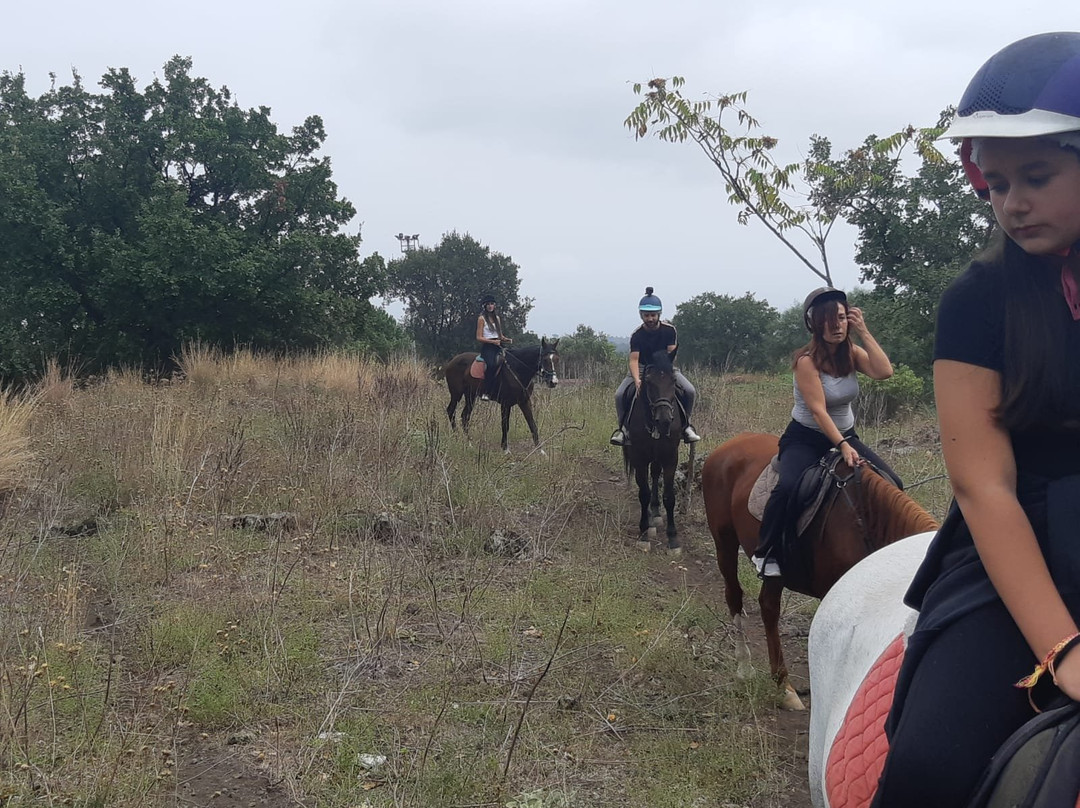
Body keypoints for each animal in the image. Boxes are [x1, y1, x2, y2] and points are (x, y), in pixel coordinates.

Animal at [622, 347, 686, 557]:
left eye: (673, 381)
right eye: (649, 381)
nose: (664, 420)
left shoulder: (671, 457)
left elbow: (669, 496)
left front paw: (673, 539)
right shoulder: (640, 458)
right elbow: (643, 493)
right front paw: (644, 534)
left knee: (656, 474)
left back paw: (656, 514)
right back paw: (650, 520)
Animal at [699, 432, 937, 708]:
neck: (864, 520)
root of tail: (727, 447)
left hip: (776, 568)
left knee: (768, 606)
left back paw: (784, 686)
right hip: (724, 541)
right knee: (734, 595)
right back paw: (746, 668)